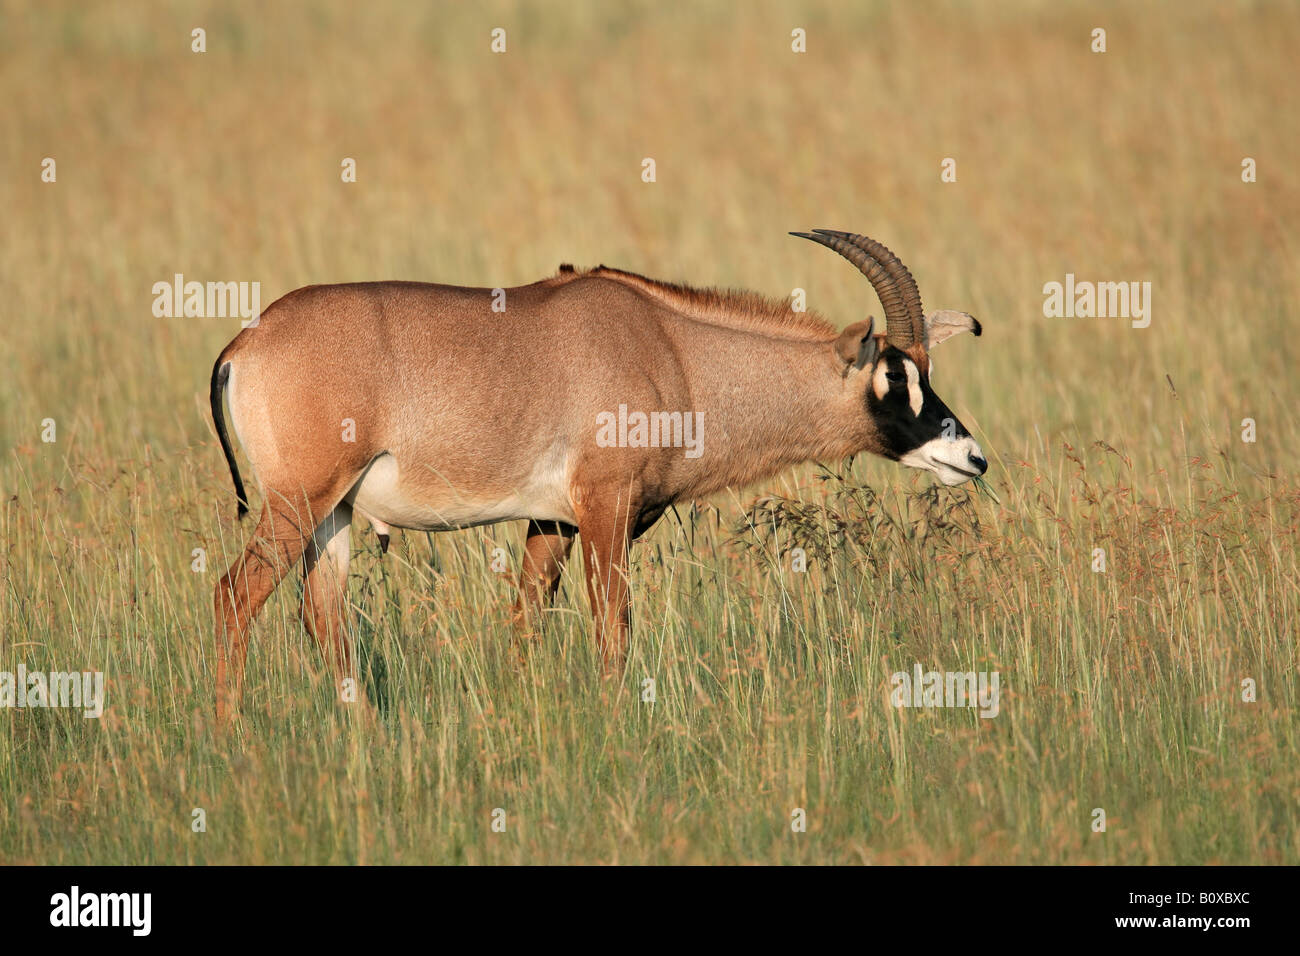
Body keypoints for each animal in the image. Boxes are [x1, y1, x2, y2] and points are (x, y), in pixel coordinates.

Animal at [210, 231, 982, 723]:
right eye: (893, 377)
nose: (970, 457)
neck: (671, 347)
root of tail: (247, 340)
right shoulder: (606, 507)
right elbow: (613, 625)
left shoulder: (551, 519)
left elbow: (526, 620)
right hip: (297, 502)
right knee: (234, 595)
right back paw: (230, 737)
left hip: (333, 513)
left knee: (322, 614)